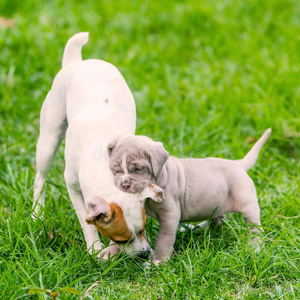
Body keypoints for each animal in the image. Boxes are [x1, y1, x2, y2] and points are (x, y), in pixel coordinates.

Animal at [33, 32, 154, 258]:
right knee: (40, 179)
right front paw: (94, 249)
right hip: (48, 140)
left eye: (143, 229)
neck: (101, 159)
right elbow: (86, 222)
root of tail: (78, 62)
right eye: (122, 239)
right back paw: (37, 214)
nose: (144, 253)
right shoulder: (73, 187)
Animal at [108, 128, 272, 262]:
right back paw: (199, 228)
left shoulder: (170, 216)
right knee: (217, 219)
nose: (124, 184)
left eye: (137, 169)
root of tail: (238, 164)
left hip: (248, 205)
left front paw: (158, 261)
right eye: (115, 170)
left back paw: (255, 247)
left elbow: (164, 239)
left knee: (255, 229)